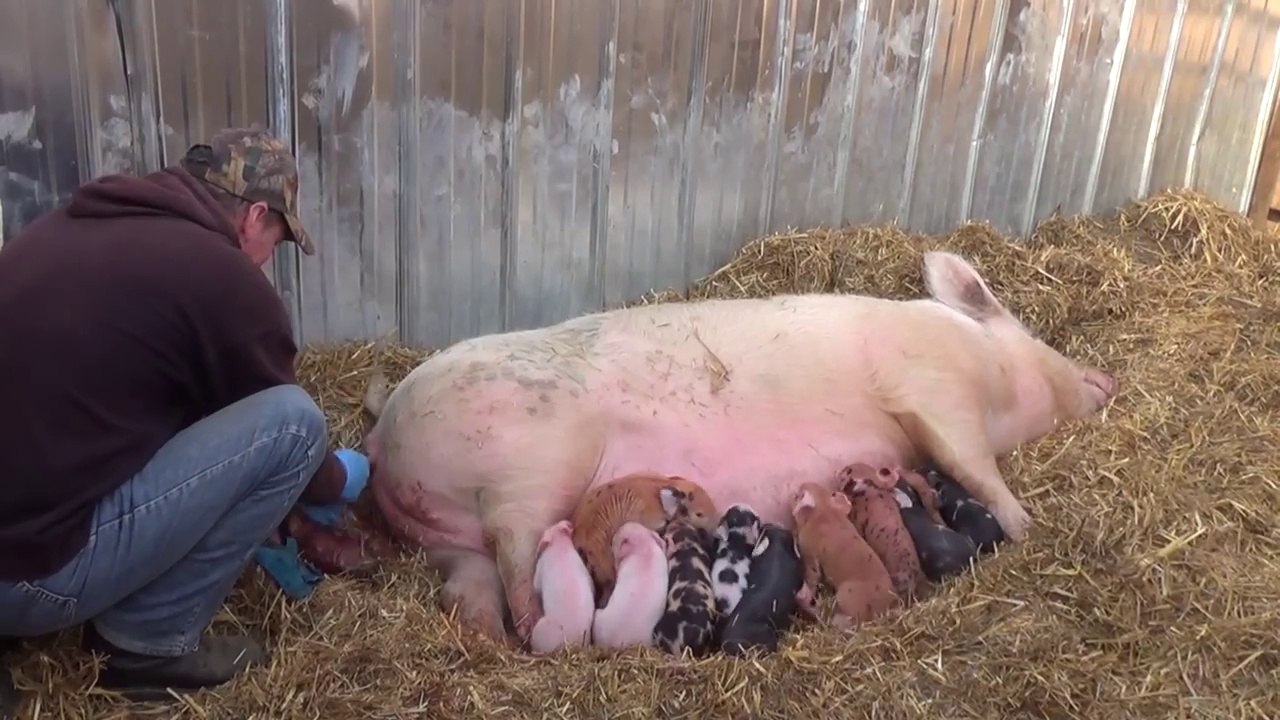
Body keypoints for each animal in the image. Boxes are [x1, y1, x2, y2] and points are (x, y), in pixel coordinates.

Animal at [792, 482, 899, 628]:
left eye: (799, 495)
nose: (801, 485)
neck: (823, 510)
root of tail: (879, 611)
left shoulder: (809, 552)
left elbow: (812, 575)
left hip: (845, 595)